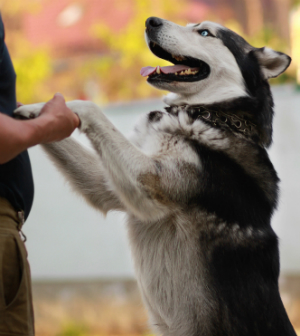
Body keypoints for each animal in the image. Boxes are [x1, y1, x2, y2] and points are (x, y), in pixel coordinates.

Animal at [14, 17, 296, 336]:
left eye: (204, 32)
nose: (151, 21)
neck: (213, 116)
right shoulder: (109, 184)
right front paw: (32, 110)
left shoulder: (148, 185)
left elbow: (90, 107)